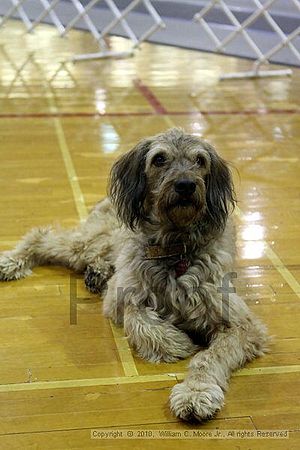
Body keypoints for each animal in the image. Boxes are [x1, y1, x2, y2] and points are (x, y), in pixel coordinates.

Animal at [0, 129, 268, 422]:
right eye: (159, 159)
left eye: (200, 160)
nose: (186, 185)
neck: (175, 247)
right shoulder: (122, 298)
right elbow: (138, 318)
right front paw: (176, 344)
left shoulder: (241, 326)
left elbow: (208, 358)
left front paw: (196, 392)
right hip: (91, 242)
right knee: (42, 237)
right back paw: (12, 261)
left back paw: (96, 273)